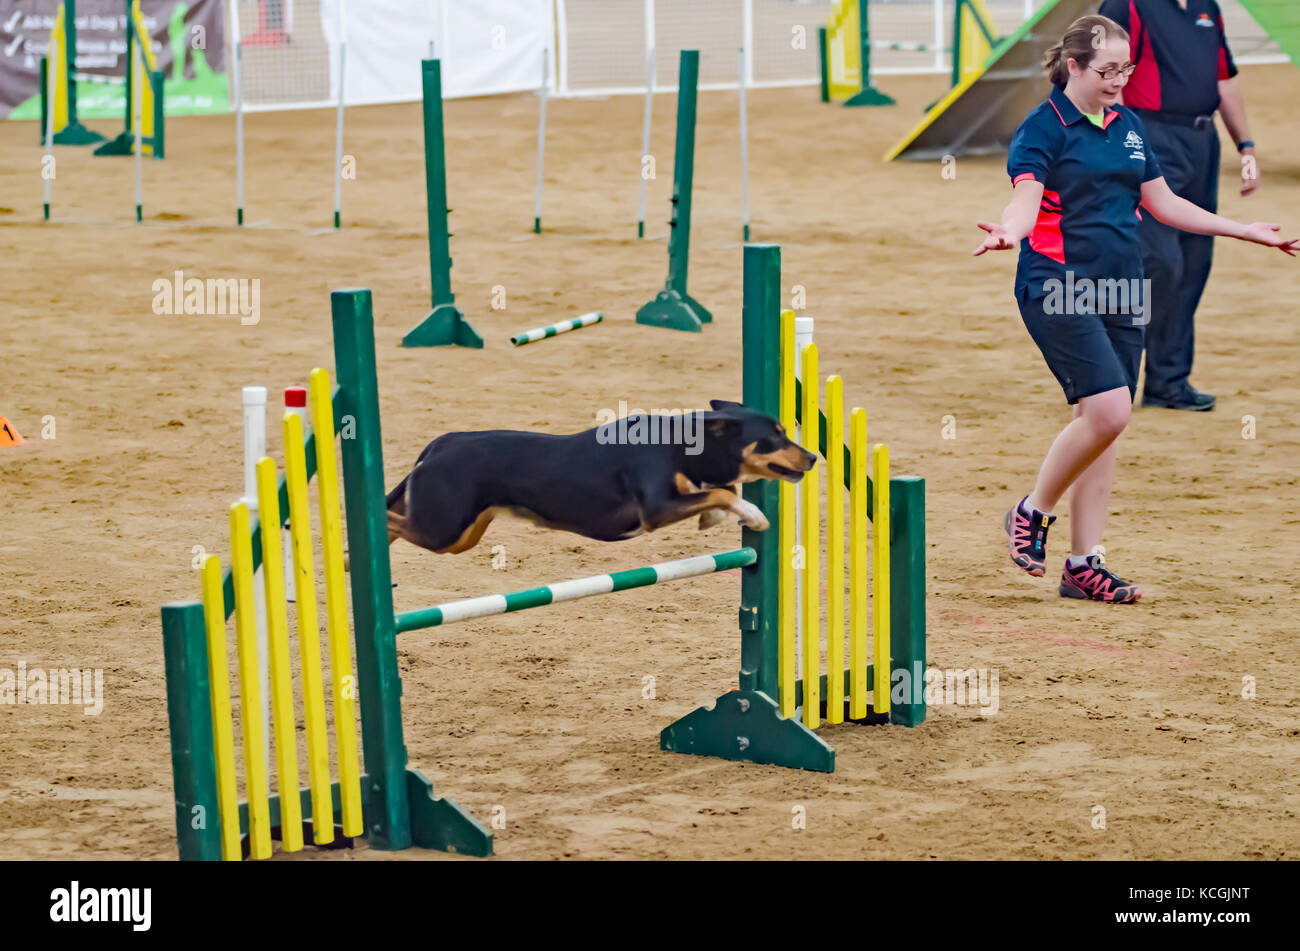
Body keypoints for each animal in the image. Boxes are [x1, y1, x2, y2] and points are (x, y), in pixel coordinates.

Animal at [382, 397, 811, 553]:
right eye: (775, 435)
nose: (812, 457)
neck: (678, 444)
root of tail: (441, 444)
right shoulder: (656, 509)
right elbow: (725, 493)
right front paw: (753, 515)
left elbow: (723, 492)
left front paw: (715, 517)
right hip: (442, 528)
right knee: (385, 519)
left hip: (461, 534)